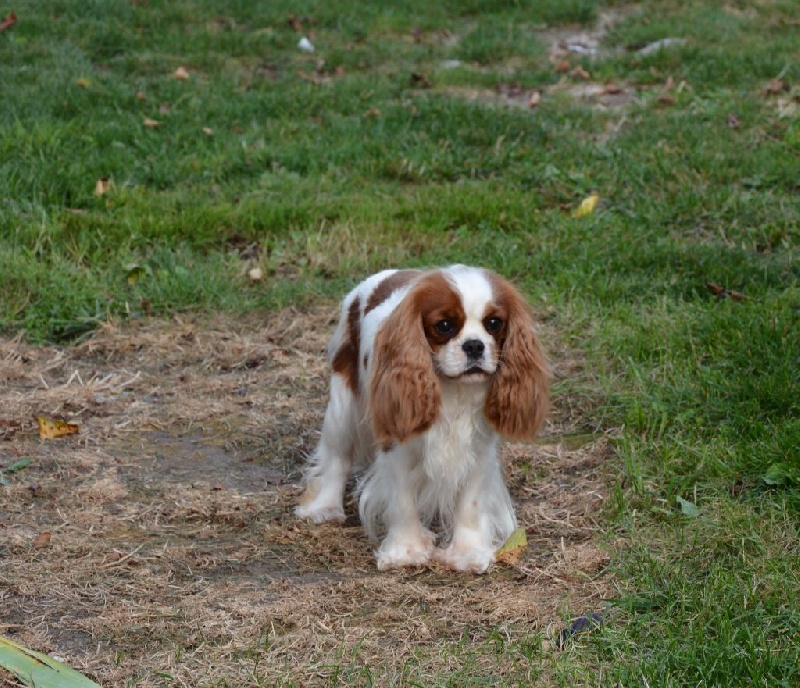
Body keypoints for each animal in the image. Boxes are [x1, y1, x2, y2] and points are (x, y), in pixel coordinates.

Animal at [296, 266, 552, 572]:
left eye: (493, 323)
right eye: (444, 326)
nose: (475, 346)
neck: (452, 389)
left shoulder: (479, 448)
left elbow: (470, 502)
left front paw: (466, 553)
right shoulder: (397, 444)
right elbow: (402, 500)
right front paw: (405, 551)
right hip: (342, 404)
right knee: (337, 457)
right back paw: (324, 507)